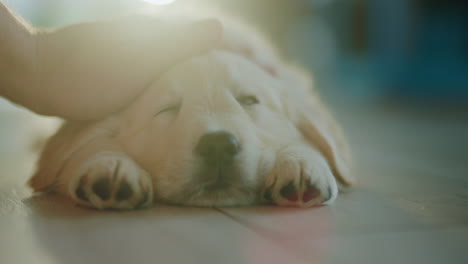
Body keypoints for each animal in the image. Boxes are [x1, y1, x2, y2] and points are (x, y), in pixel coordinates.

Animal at [28, 17, 354, 209]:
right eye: (167, 108)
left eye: (248, 100)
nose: (219, 145)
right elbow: (84, 142)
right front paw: (109, 166)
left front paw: (300, 163)